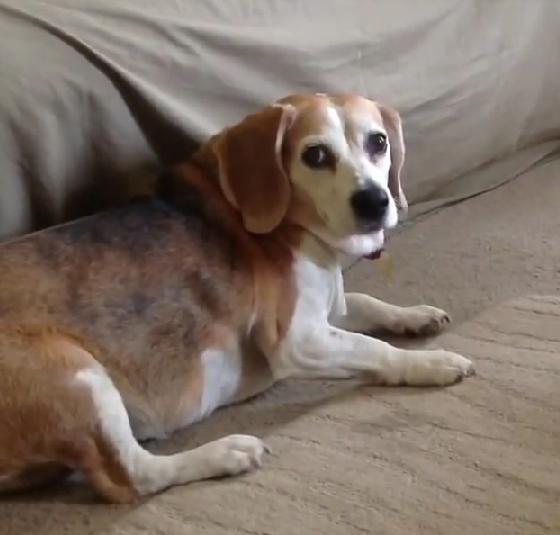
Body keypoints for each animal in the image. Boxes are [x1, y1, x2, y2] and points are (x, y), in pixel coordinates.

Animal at [0, 93, 474, 502]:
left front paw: (414, 315)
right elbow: (373, 348)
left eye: (378, 142)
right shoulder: (298, 340)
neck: (298, 229)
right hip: (76, 375)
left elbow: (366, 302)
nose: (376, 200)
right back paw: (223, 454)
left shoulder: (327, 307)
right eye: (315, 155)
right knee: (133, 476)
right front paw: (430, 363)